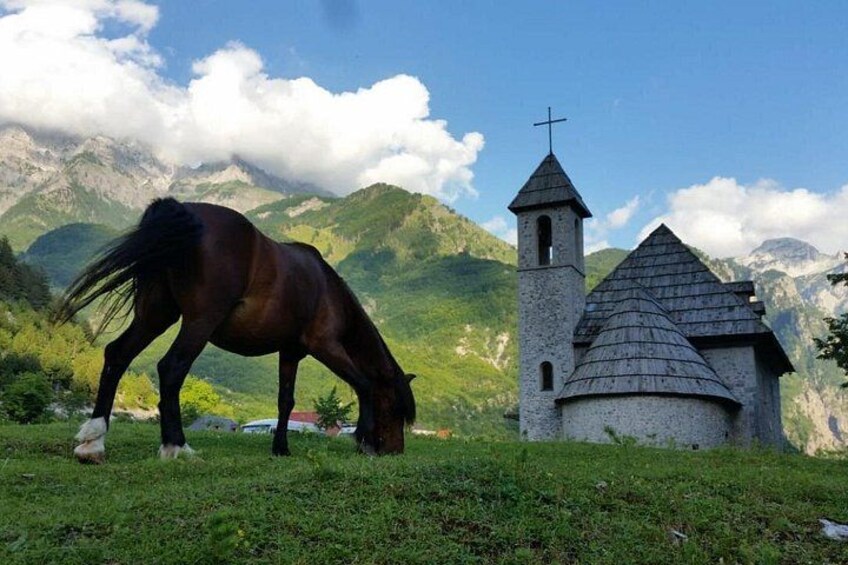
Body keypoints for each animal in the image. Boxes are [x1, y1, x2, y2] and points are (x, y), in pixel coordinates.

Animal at [55, 198, 416, 463]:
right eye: (395, 408)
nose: (395, 451)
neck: (327, 289)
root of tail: (185, 211)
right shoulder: (324, 345)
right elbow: (364, 383)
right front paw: (364, 441)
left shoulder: (291, 352)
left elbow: (285, 401)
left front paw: (281, 447)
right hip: (199, 321)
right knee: (171, 368)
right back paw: (176, 446)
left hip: (155, 315)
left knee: (117, 355)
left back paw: (94, 441)